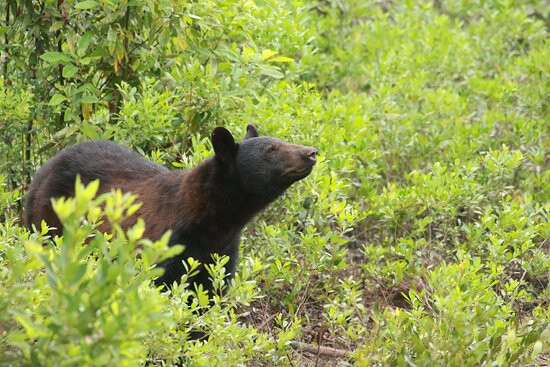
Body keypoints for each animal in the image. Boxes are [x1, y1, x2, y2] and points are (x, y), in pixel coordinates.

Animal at [24, 126, 320, 294]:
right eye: (272, 149)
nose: (312, 152)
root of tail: (45, 165)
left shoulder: (220, 259)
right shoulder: (164, 248)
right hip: (46, 224)